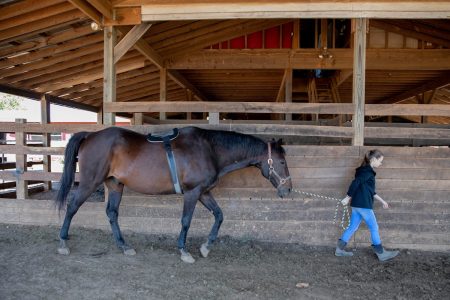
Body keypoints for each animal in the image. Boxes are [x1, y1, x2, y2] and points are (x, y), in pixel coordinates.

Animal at [55, 126, 292, 262]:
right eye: (281, 162)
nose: (288, 189)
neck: (209, 149)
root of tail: (90, 135)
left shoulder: (203, 193)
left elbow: (219, 215)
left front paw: (206, 247)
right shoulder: (192, 193)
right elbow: (186, 221)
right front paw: (184, 251)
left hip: (115, 185)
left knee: (112, 213)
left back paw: (124, 246)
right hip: (89, 182)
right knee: (72, 206)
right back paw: (63, 243)